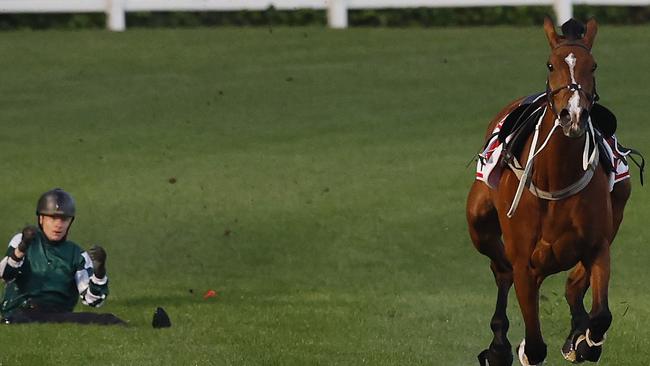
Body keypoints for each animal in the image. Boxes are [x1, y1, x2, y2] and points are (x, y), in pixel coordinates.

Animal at [466, 17, 632, 366]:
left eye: (593, 65)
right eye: (551, 64)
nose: (573, 115)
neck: (555, 178)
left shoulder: (598, 245)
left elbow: (600, 315)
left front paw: (583, 341)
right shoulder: (524, 263)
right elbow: (534, 345)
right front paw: (510, 348)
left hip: (616, 214)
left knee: (572, 286)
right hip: (478, 222)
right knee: (501, 271)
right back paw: (498, 344)